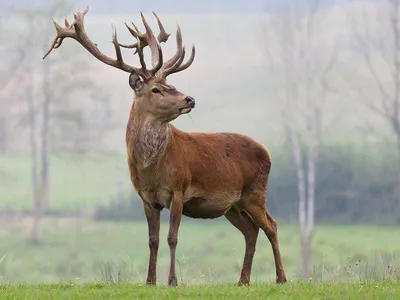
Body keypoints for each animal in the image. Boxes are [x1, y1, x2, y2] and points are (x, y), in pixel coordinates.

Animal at [43, 5, 288, 284]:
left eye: (171, 84)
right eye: (156, 89)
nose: (190, 99)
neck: (151, 169)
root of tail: (267, 151)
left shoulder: (179, 189)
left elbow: (172, 238)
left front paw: (172, 281)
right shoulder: (146, 198)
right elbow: (153, 240)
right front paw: (150, 281)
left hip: (255, 192)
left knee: (271, 225)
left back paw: (281, 277)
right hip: (232, 205)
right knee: (251, 230)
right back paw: (243, 280)